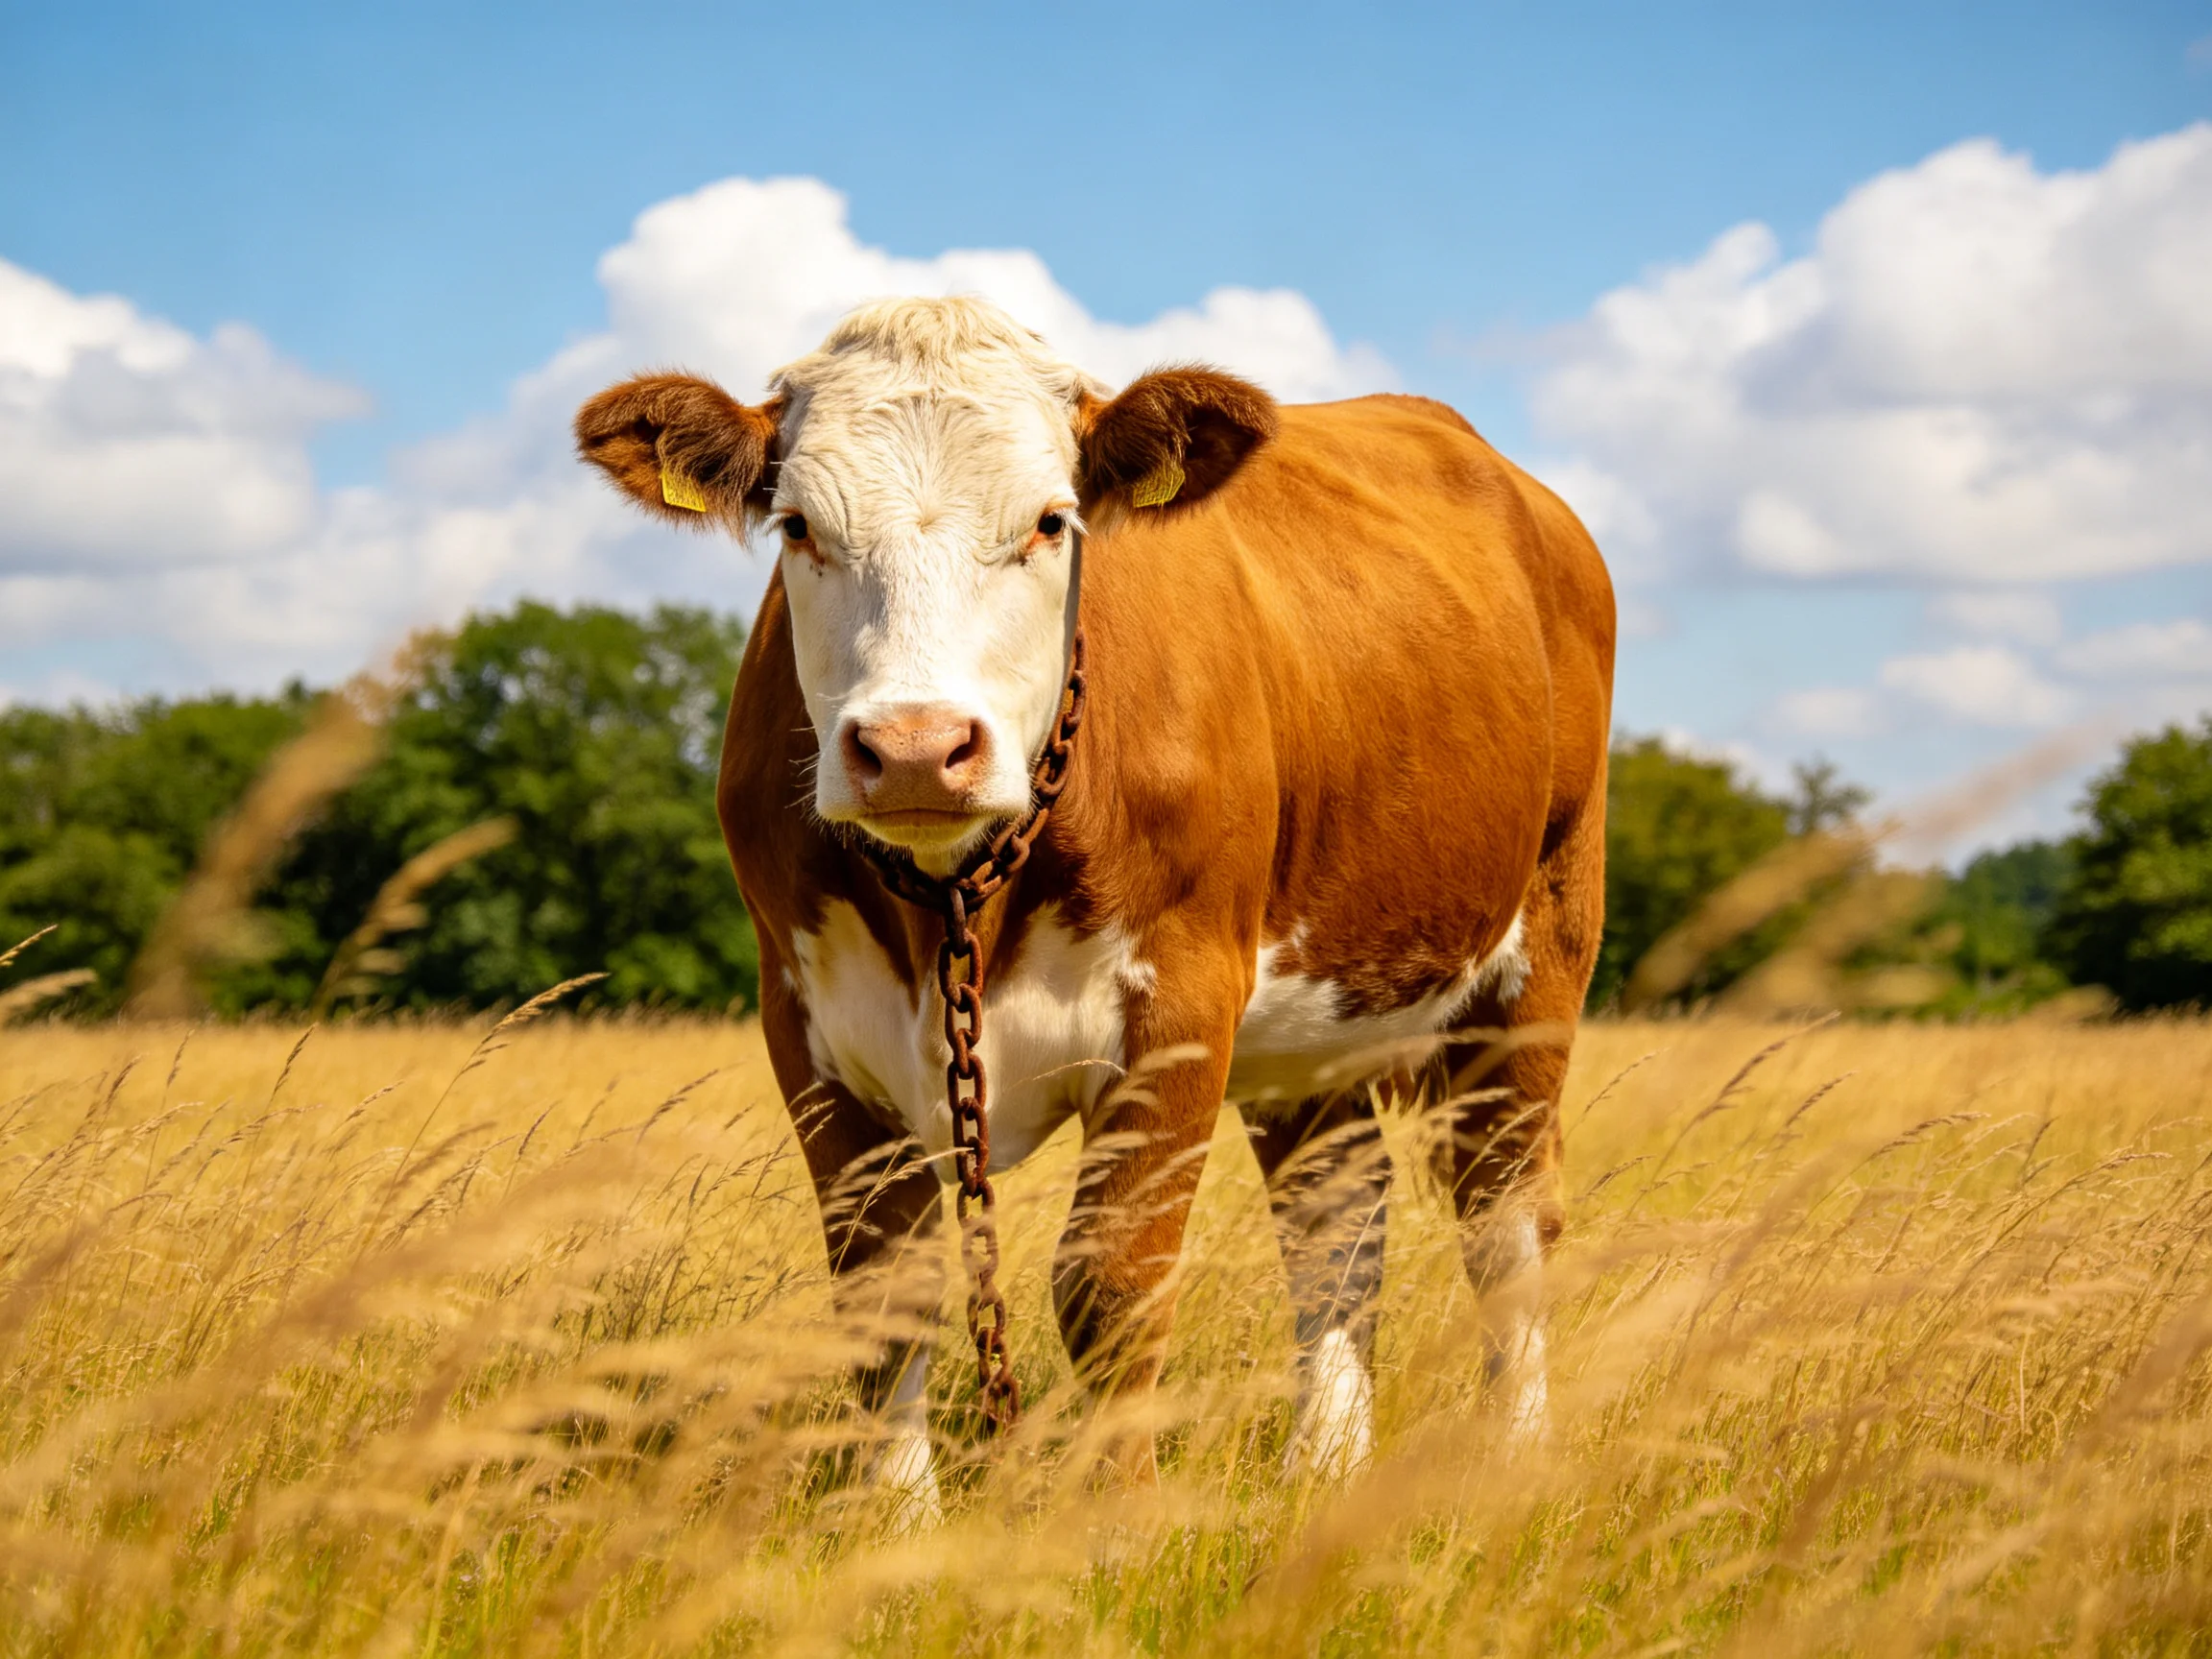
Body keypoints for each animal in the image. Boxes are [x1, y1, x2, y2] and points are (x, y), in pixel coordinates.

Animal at [575, 296, 1614, 1514]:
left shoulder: (1181, 1003)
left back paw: (1514, 1457)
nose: (916, 748)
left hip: (1542, 947)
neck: (954, 904)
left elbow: (1110, 1282)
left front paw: (1114, 1517)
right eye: (796, 527)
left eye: (1050, 521)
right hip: (1318, 1028)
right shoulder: (807, 1024)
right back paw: (1323, 1467)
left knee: (1507, 1216)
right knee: (1336, 1223)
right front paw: (897, 1520)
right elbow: (883, 1296)